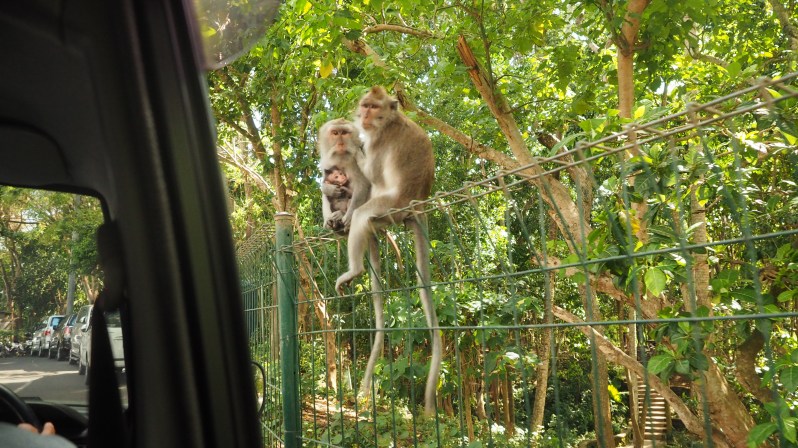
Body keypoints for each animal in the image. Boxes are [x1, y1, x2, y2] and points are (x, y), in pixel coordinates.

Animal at [334, 86, 441, 416]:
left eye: (373, 107)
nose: (364, 116)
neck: (389, 122)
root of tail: (417, 203)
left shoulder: (380, 144)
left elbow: (369, 172)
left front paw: (355, 146)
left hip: (389, 206)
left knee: (362, 214)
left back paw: (354, 268)